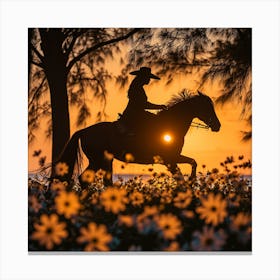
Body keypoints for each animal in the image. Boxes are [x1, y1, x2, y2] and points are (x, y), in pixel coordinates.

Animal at [54, 91, 221, 185]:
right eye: (207, 107)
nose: (217, 126)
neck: (171, 124)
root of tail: (84, 131)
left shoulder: (172, 159)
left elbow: (191, 163)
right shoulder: (170, 159)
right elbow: (187, 168)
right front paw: (191, 183)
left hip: (104, 160)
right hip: (98, 160)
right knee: (85, 179)